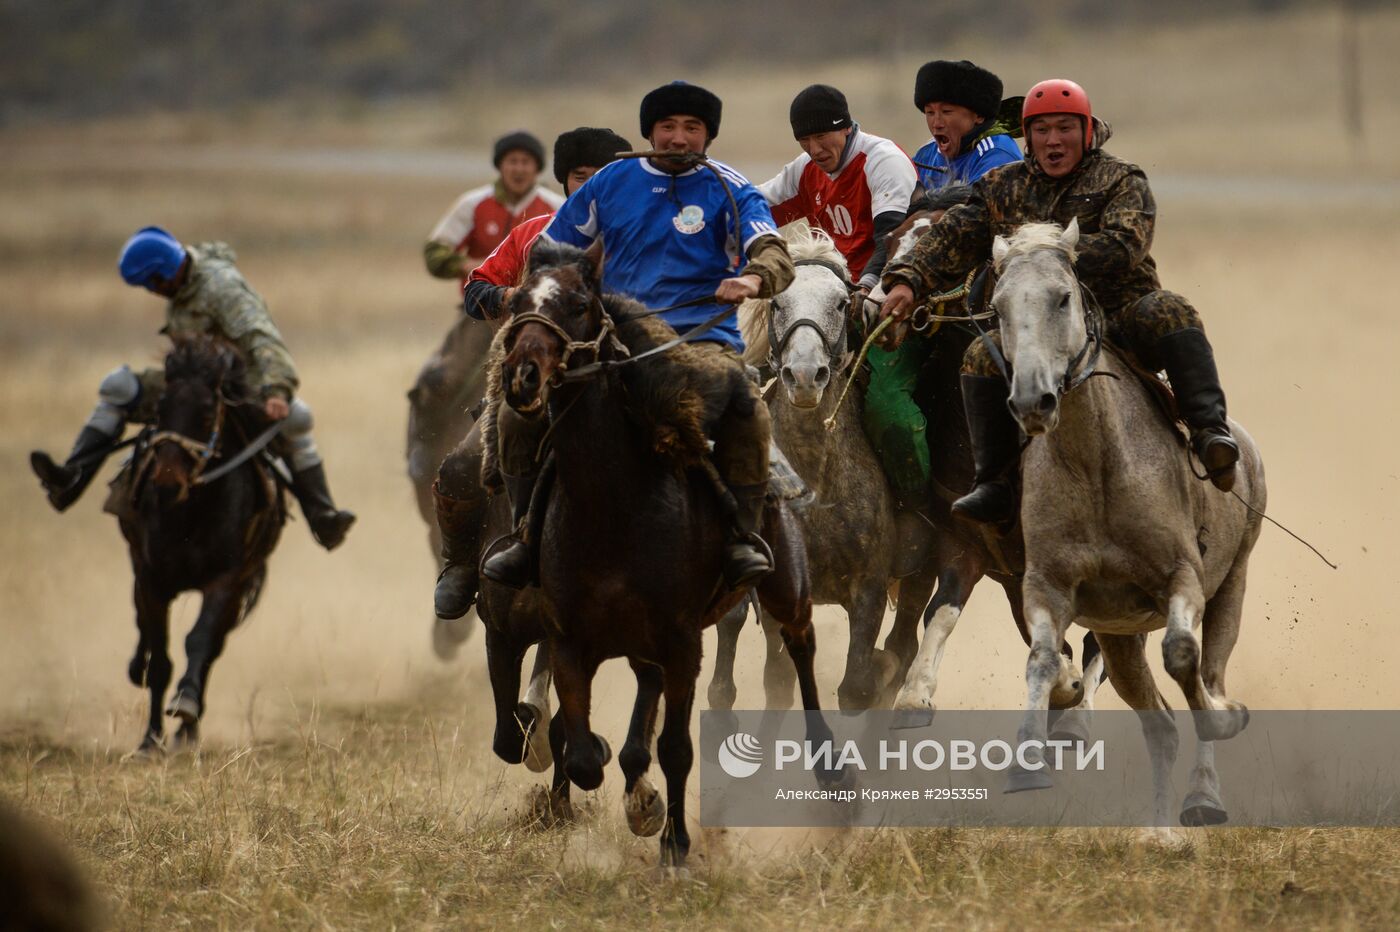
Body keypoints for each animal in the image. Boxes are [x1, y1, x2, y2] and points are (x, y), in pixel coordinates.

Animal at [121, 334, 282, 750]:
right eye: (161, 407)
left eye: (209, 412)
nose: (166, 484)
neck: (189, 515)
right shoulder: (151, 581)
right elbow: (160, 658)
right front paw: (150, 740)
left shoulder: (226, 580)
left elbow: (199, 641)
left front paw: (186, 707)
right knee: (144, 631)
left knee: (211, 649)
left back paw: (187, 731)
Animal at [498, 239, 834, 862]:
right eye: (516, 302)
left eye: (579, 304)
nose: (523, 377)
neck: (611, 506)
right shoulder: (571, 642)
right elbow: (582, 754)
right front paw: (640, 800)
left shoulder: (682, 644)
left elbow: (676, 748)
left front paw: (675, 844)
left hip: (787, 588)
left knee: (801, 647)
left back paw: (829, 767)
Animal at [996, 219, 1271, 828]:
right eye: (997, 306)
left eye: (1063, 297)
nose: (1032, 400)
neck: (1097, 464)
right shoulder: (1048, 586)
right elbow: (1042, 659)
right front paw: (1025, 765)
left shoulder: (1181, 577)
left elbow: (1183, 656)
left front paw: (1229, 717)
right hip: (1119, 638)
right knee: (1160, 726)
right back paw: (1161, 831)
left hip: (1233, 587)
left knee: (1208, 674)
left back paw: (1202, 797)